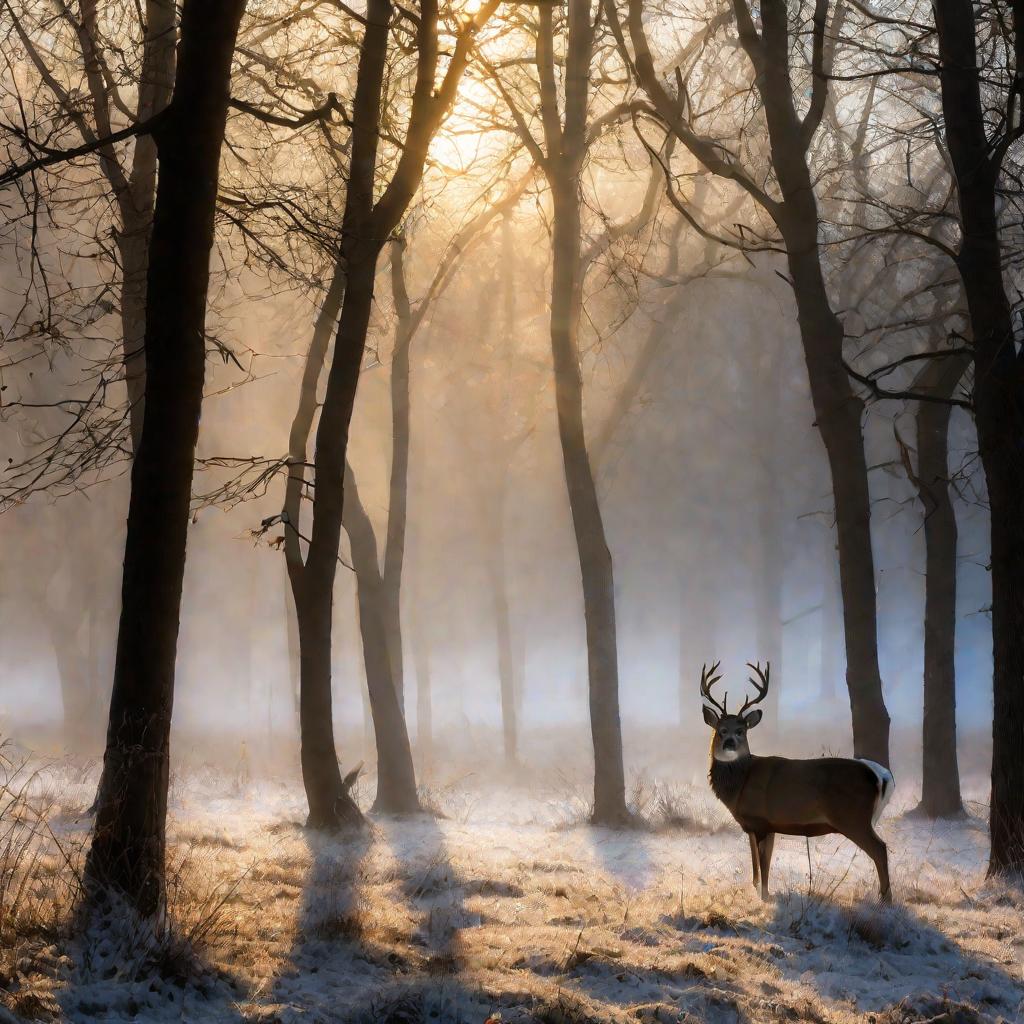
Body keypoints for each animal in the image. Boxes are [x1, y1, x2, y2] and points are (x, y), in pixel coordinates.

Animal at [700, 659, 892, 901]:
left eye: (741, 731)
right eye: (721, 730)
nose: (729, 743)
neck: (740, 785)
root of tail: (880, 774)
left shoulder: (760, 820)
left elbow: (763, 864)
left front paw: (765, 896)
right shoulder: (759, 825)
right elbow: (757, 864)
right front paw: (757, 890)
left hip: (854, 817)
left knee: (880, 849)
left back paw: (884, 900)